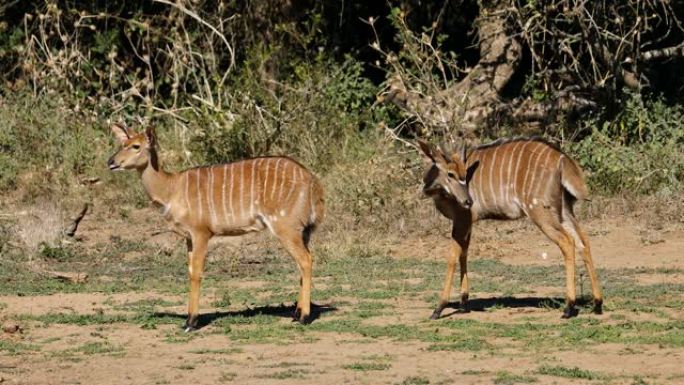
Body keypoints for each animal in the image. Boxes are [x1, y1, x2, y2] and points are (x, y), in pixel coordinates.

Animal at [107, 123, 326, 330]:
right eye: (122, 143)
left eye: (136, 146)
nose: (111, 162)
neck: (171, 188)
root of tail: (312, 179)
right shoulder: (189, 238)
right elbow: (189, 271)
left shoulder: (201, 233)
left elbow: (196, 273)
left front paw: (191, 322)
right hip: (301, 231)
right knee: (302, 263)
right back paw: (296, 314)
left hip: (285, 227)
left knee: (306, 260)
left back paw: (304, 318)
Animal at [416, 138, 604, 318]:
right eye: (451, 174)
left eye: (464, 175)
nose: (468, 201)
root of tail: (562, 160)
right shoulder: (467, 222)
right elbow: (464, 253)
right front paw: (463, 304)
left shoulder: (462, 218)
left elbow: (453, 256)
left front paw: (439, 308)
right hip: (564, 211)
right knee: (583, 241)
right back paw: (597, 304)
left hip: (540, 212)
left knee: (567, 242)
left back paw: (568, 307)